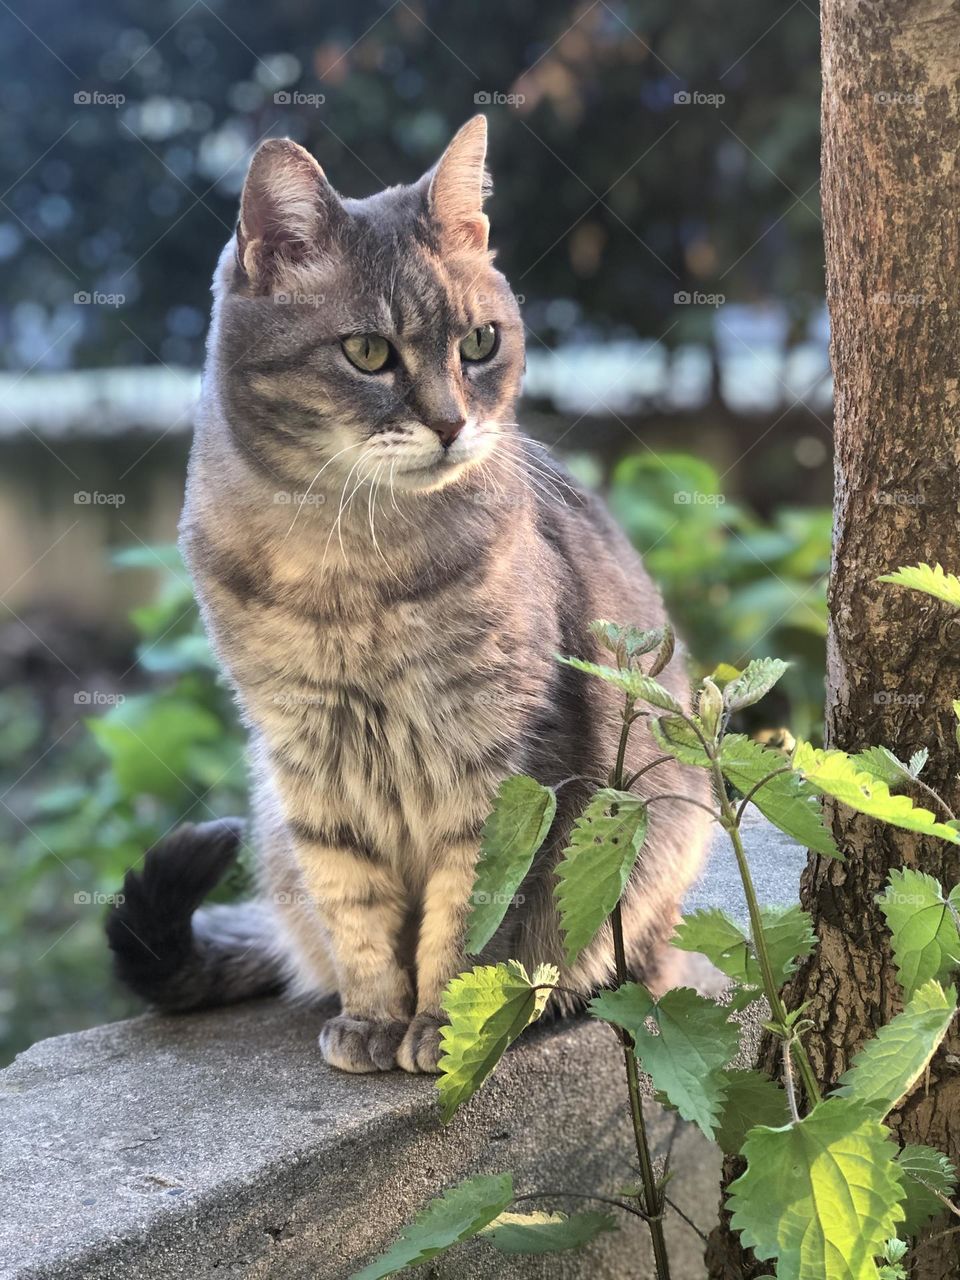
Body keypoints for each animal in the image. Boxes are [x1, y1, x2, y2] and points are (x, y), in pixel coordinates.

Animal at [106, 115, 716, 1075]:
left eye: (480, 344)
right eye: (367, 353)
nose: (451, 422)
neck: (347, 564)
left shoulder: (501, 767)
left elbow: (471, 914)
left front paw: (449, 1023)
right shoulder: (306, 763)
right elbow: (353, 908)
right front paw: (373, 1016)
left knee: (640, 949)